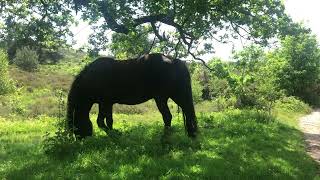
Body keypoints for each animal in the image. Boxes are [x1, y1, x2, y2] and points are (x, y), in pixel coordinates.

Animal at [67, 52, 198, 139]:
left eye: (75, 127)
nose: (80, 139)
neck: (93, 78)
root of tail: (174, 60)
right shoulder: (107, 103)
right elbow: (108, 120)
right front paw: (114, 133)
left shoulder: (105, 103)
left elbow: (101, 121)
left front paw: (113, 134)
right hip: (173, 96)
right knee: (187, 112)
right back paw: (191, 135)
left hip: (164, 97)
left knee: (169, 116)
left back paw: (165, 138)